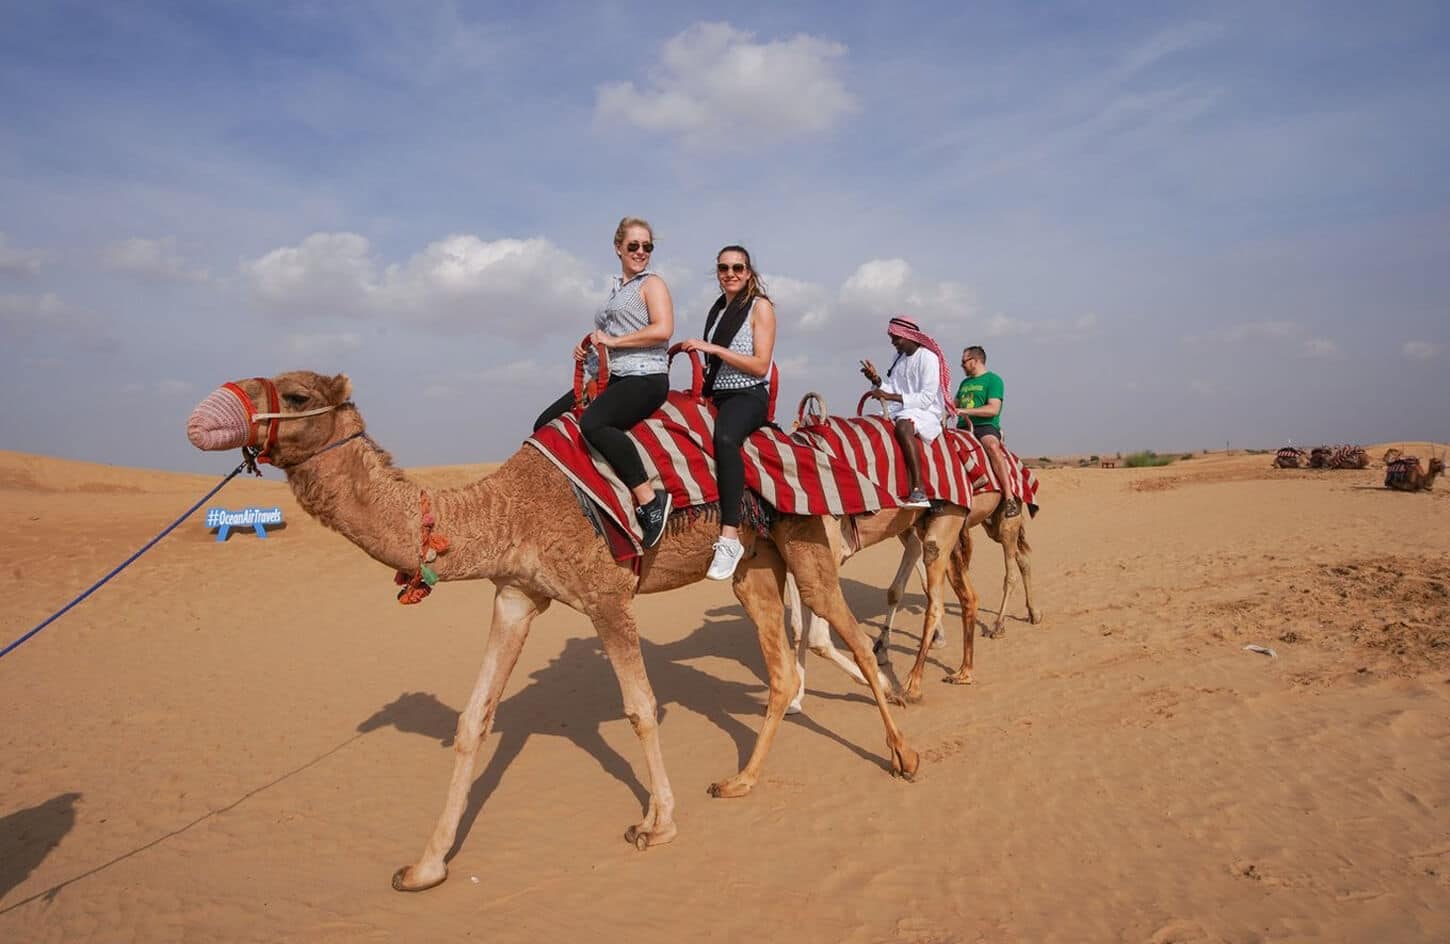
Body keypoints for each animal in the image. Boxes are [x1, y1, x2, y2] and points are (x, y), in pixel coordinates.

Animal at [186, 370, 927, 893]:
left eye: (296, 393)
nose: (205, 415)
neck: (506, 509)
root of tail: (793, 436)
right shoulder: (517, 594)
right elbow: (473, 720)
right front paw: (425, 867)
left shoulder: (606, 595)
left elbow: (640, 709)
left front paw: (657, 824)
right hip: (753, 558)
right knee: (780, 667)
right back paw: (740, 782)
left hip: (804, 535)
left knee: (846, 632)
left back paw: (904, 753)